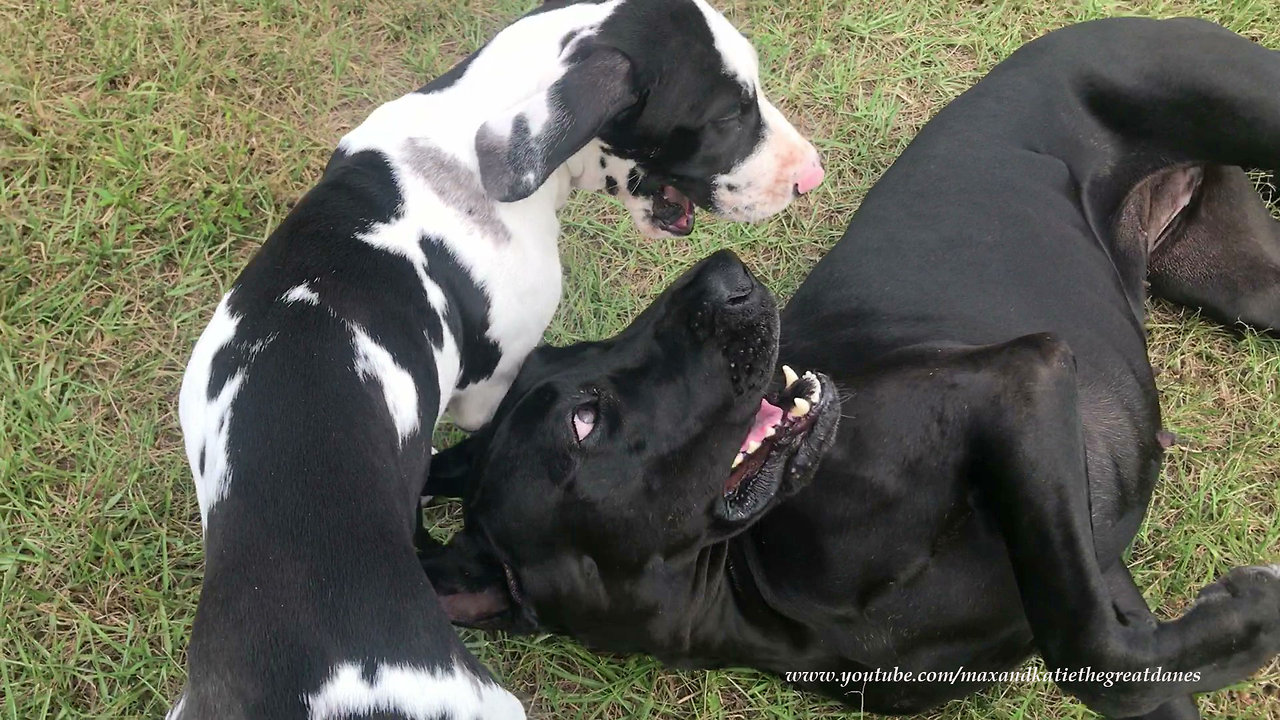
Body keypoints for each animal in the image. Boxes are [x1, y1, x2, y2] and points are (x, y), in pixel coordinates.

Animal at [422, 16, 1280, 717]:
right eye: (584, 419)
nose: (727, 275)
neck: (761, 583)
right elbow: (1108, 658)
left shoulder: (1022, 380)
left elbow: (1087, 649)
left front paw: (1251, 614)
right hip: (1244, 283)